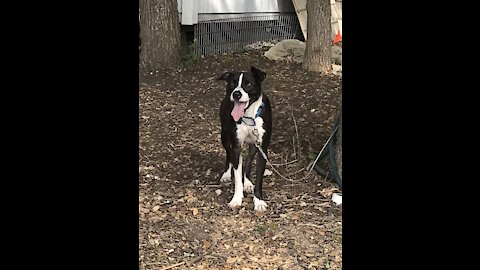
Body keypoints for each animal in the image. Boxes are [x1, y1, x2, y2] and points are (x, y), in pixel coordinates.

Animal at [218, 66, 272, 212]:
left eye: (248, 84)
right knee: (228, 155)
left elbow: (258, 178)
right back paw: (226, 174)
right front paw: (236, 199)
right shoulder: (236, 146)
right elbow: (237, 176)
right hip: (224, 136)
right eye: (232, 83)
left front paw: (258, 201)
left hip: (254, 145)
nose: (236, 94)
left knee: (248, 162)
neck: (249, 117)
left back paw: (247, 182)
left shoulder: (262, 149)